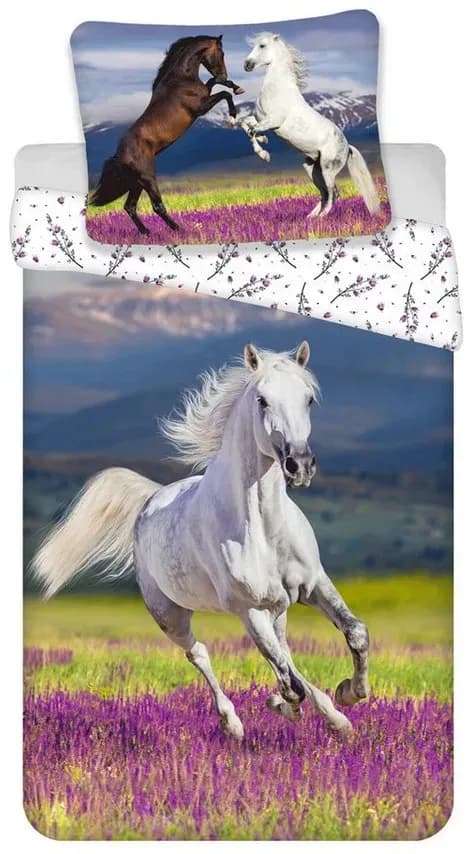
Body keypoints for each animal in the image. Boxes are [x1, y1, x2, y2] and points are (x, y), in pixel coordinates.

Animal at [32, 343, 370, 740]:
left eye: (309, 398)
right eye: (262, 400)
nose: (299, 465)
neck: (263, 529)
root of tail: (151, 499)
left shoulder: (313, 584)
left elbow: (354, 634)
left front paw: (348, 695)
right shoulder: (248, 609)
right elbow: (289, 683)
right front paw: (287, 705)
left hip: (278, 608)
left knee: (285, 652)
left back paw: (330, 715)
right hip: (170, 614)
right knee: (201, 654)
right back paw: (233, 723)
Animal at [90, 35, 244, 235]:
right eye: (221, 53)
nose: (224, 73)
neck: (181, 79)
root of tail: (119, 156)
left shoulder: (205, 95)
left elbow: (214, 81)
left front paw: (236, 87)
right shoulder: (200, 107)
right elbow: (224, 93)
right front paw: (232, 118)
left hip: (136, 183)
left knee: (130, 206)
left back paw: (146, 233)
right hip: (147, 179)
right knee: (157, 206)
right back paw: (179, 230)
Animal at [238, 33, 380, 219]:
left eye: (262, 45)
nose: (247, 65)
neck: (277, 89)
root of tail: (347, 146)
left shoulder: (273, 121)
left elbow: (252, 131)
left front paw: (264, 154)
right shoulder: (260, 118)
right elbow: (245, 123)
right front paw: (264, 141)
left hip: (328, 169)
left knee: (333, 193)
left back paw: (321, 217)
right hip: (312, 168)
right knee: (324, 193)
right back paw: (310, 218)